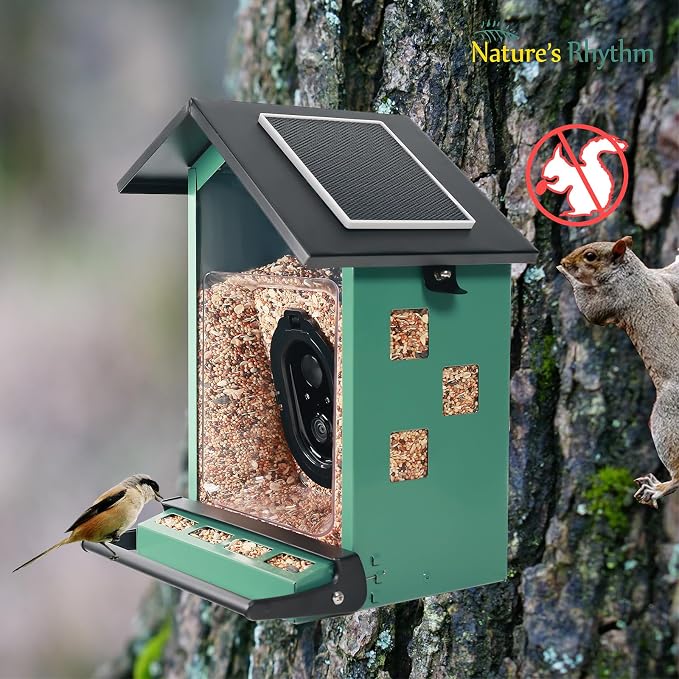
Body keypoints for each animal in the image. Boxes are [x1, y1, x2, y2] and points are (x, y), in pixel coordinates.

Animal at [558, 235, 679, 509]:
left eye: (590, 256)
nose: (564, 260)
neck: (634, 275)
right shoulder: (663, 279)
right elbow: (674, 275)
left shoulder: (613, 299)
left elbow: (589, 310)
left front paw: (566, 275)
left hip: (665, 418)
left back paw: (658, 488)